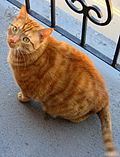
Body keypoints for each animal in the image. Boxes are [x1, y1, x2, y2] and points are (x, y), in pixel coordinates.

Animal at [7, 4, 118, 156]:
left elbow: (25, 95)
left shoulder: (28, 88)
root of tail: (105, 95)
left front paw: (22, 98)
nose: (12, 41)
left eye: (25, 40)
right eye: (15, 29)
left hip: (66, 111)